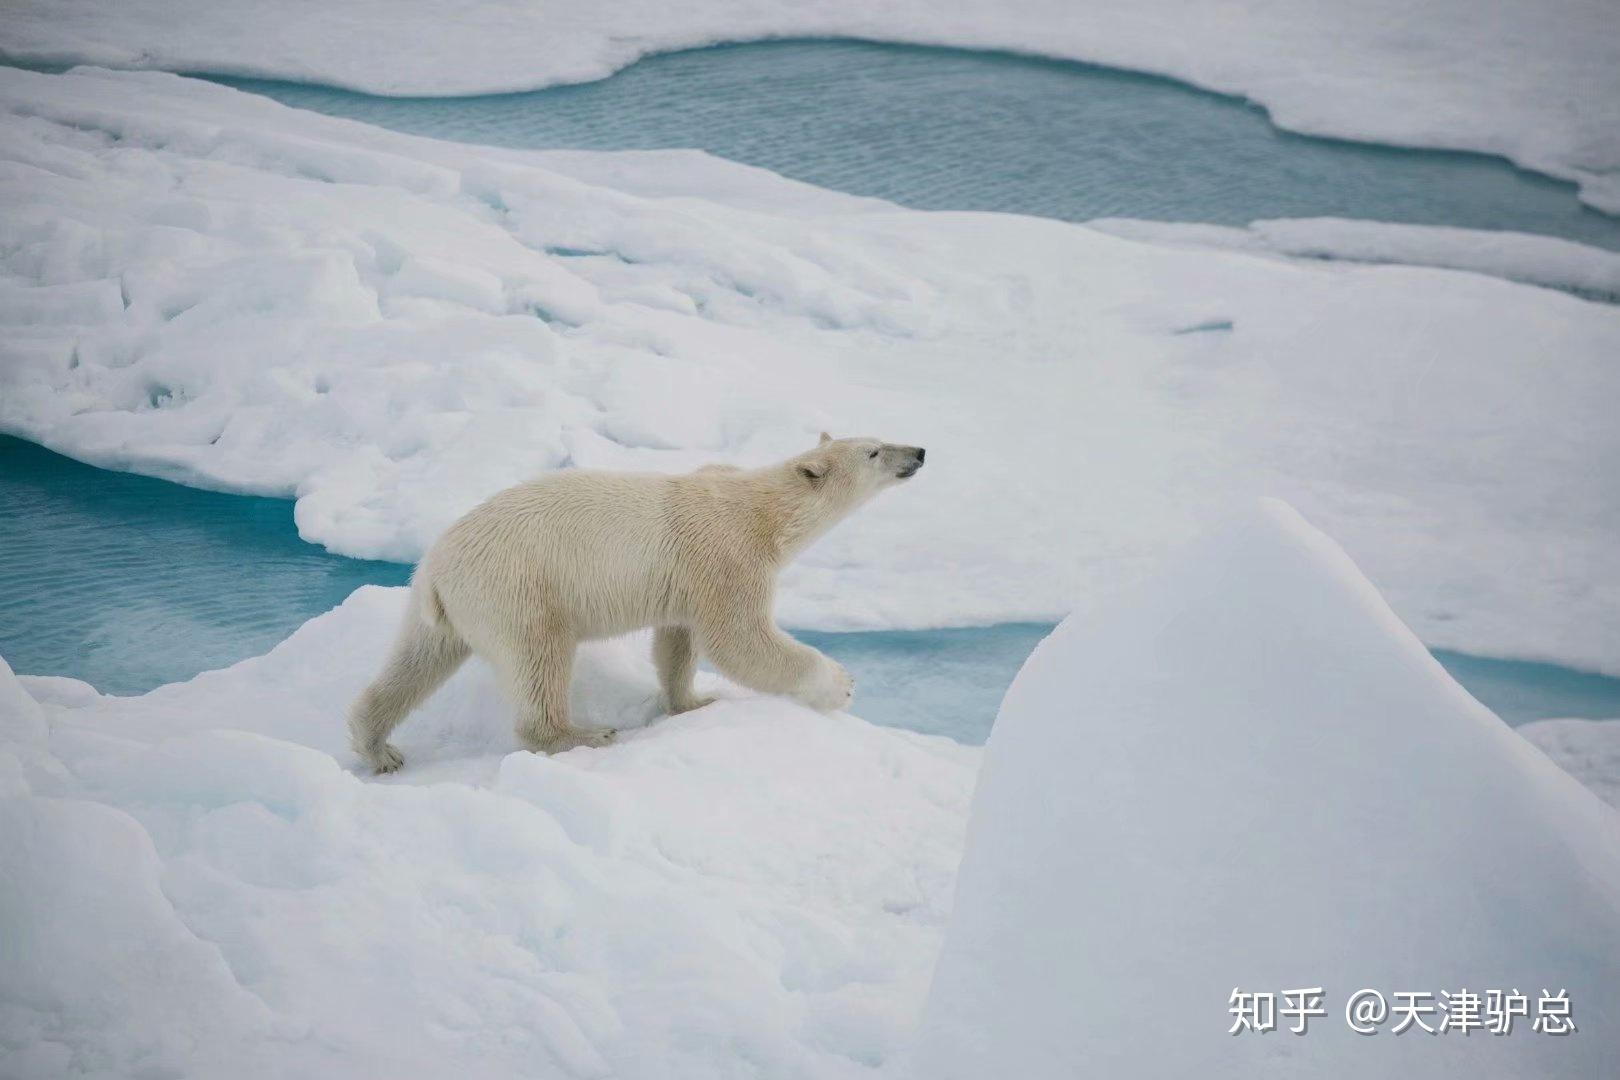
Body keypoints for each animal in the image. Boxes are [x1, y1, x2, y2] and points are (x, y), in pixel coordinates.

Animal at [348, 433, 925, 772]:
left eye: (878, 436)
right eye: (874, 451)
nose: (918, 452)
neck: (763, 511)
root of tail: (436, 569)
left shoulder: (689, 575)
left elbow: (678, 641)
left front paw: (694, 702)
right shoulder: (726, 554)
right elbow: (739, 638)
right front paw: (839, 685)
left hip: (448, 607)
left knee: (417, 661)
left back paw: (378, 746)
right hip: (517, 586)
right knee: (539, 658)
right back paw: (581, 734)